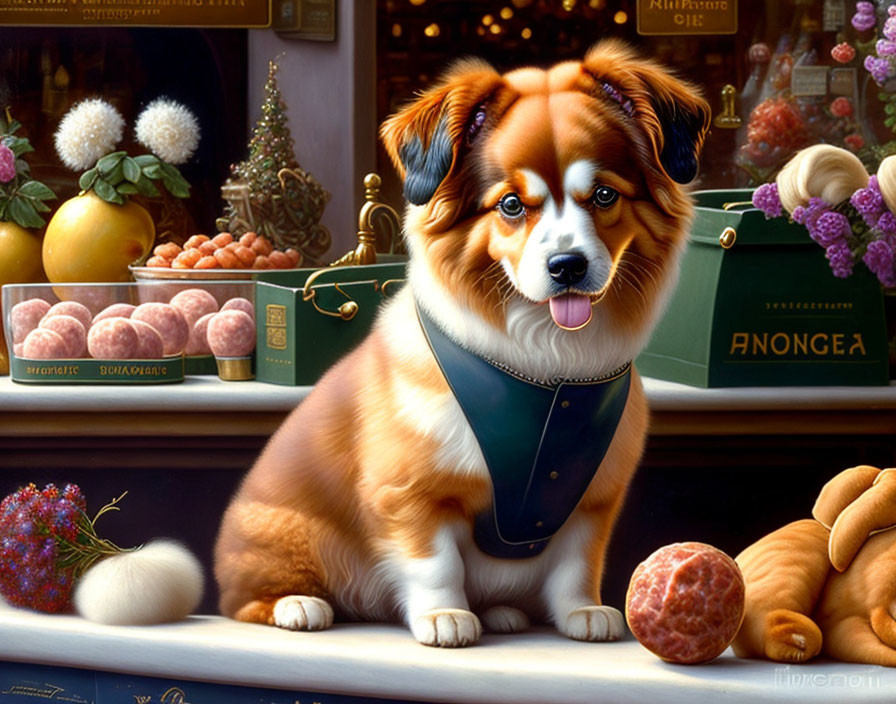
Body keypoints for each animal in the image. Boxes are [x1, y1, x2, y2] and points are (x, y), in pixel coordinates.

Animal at [214, 42, 712, 648]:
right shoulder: (410, 495)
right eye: (511, 205)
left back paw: (502, 612)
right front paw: (444, 617)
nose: (566, 266)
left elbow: (576, 563)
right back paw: (298, 605)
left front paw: (583, 613)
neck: (550, 370)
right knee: (243, 599)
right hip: (282, 529)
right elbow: (436, 562)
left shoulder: (592, 501)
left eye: (603, 195)